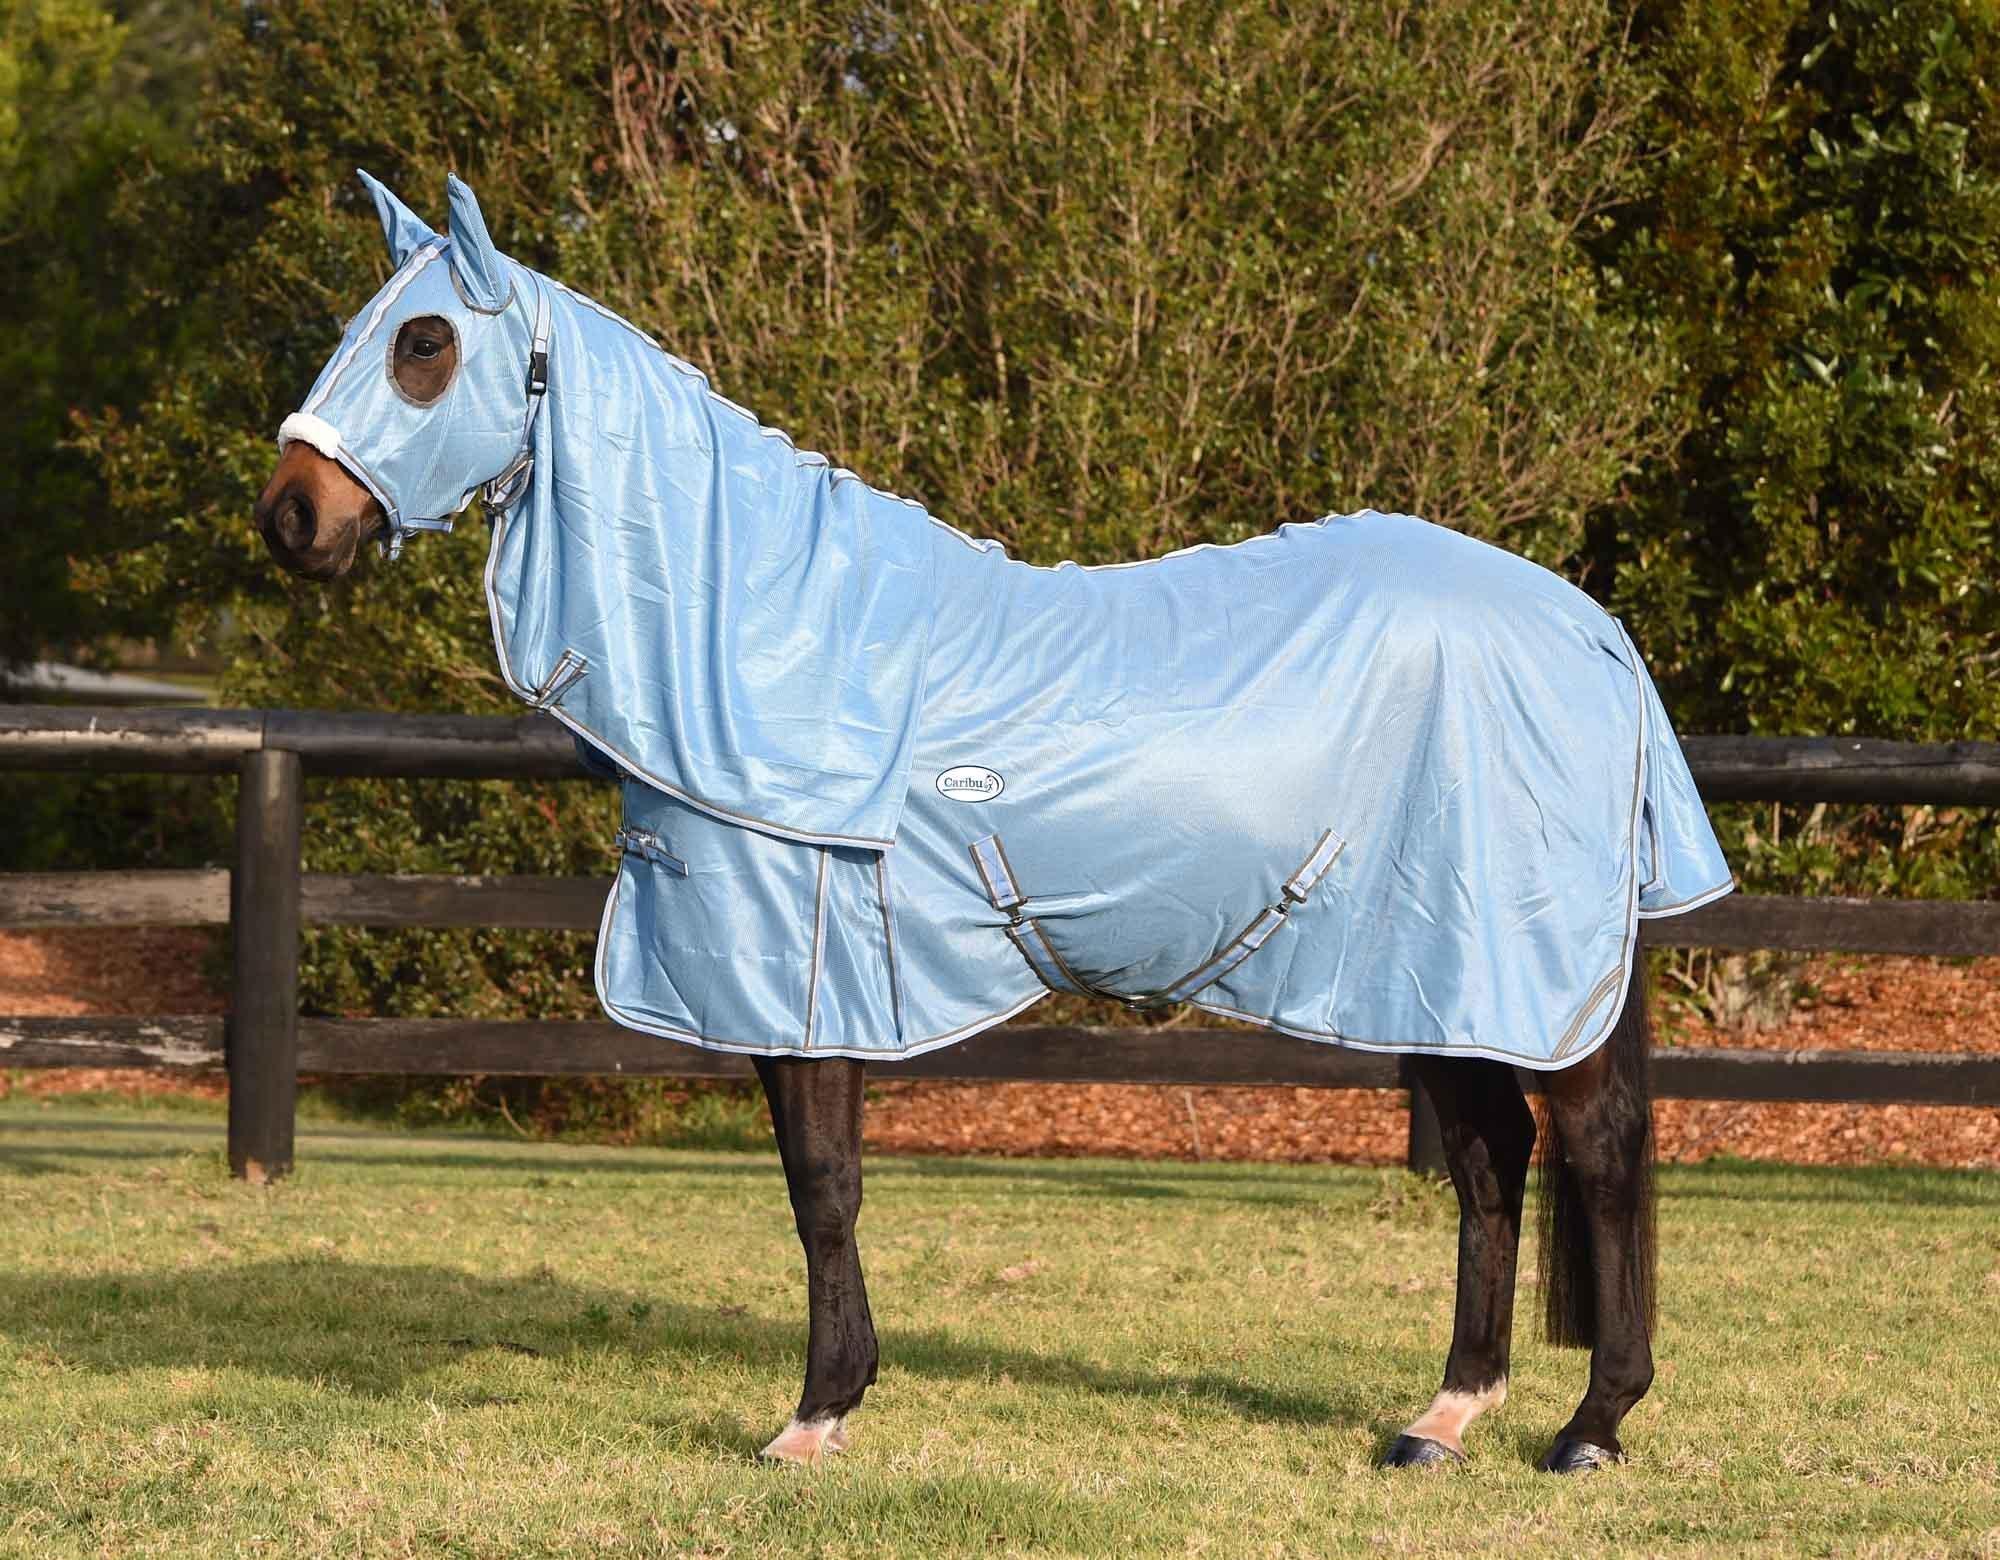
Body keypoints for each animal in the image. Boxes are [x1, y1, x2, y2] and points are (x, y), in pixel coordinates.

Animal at [254, 172, 1732, 1474]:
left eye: (425, 343)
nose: (290, 519)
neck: (780, 631)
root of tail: (1589, 627)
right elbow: (818, 1186)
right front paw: (837, 1398)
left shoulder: (808, 967)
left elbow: (821, 1187)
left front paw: (814, 1419)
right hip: (1426, 975)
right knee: (1490, 1163)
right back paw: (1444, 1418)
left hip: (1517, 974)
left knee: (1596, 1152)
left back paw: (1590, 1428)